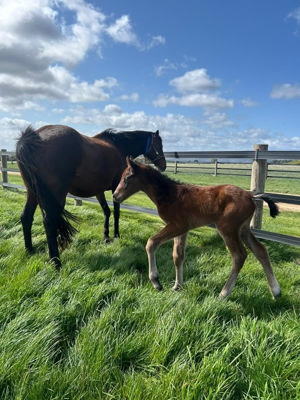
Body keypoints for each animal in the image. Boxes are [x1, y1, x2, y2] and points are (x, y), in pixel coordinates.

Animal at [16, 125, 166, 268]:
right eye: (159, 144)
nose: (163, 165)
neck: (119, 146)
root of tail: (31, 138)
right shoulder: (116, 187)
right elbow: (116, 213)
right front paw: (116, 235)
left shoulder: (99, 191)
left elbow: (107, 211)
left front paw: (106, 237)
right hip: (56, 196)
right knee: (49, 222)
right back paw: (56, 262)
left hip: (33, 193)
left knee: (26, 217)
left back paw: (29, 250)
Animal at [113, 158, 282, 298]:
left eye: (127, 177)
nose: (115, 196)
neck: (169, 194)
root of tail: (252, 196)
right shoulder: (183, 229)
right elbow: (178, 256)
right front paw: (177, 286)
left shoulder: (177, 225)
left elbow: (151, 243)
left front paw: (156, 281)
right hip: (243, 229)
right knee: (260, 250)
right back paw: (276, 292)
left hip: (227, 228)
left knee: (239, 256)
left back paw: (224, 293)